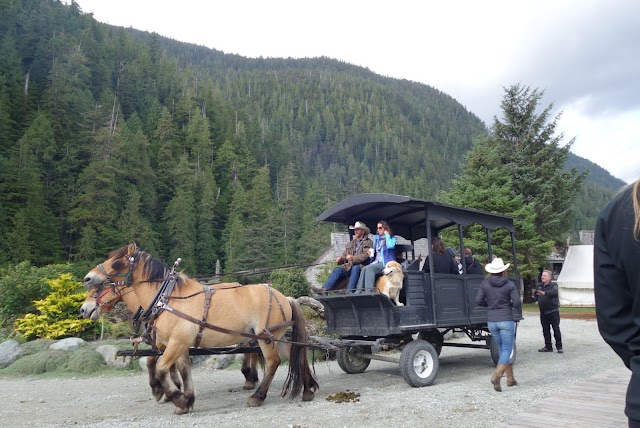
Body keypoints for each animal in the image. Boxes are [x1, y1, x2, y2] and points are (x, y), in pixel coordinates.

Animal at [82, 244, 318, 414]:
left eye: (117, 262)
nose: (87, 278)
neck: (167, 299)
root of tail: (283, 296)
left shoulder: (175, 343)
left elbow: (160, 368)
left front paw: (173, 396)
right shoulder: (178, 344)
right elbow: (183, 370)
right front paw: (186, 399)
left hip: (265, 338)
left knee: (273, 362)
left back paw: (257, 396)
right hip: (279, 337)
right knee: (298, 353)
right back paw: (307, 390)